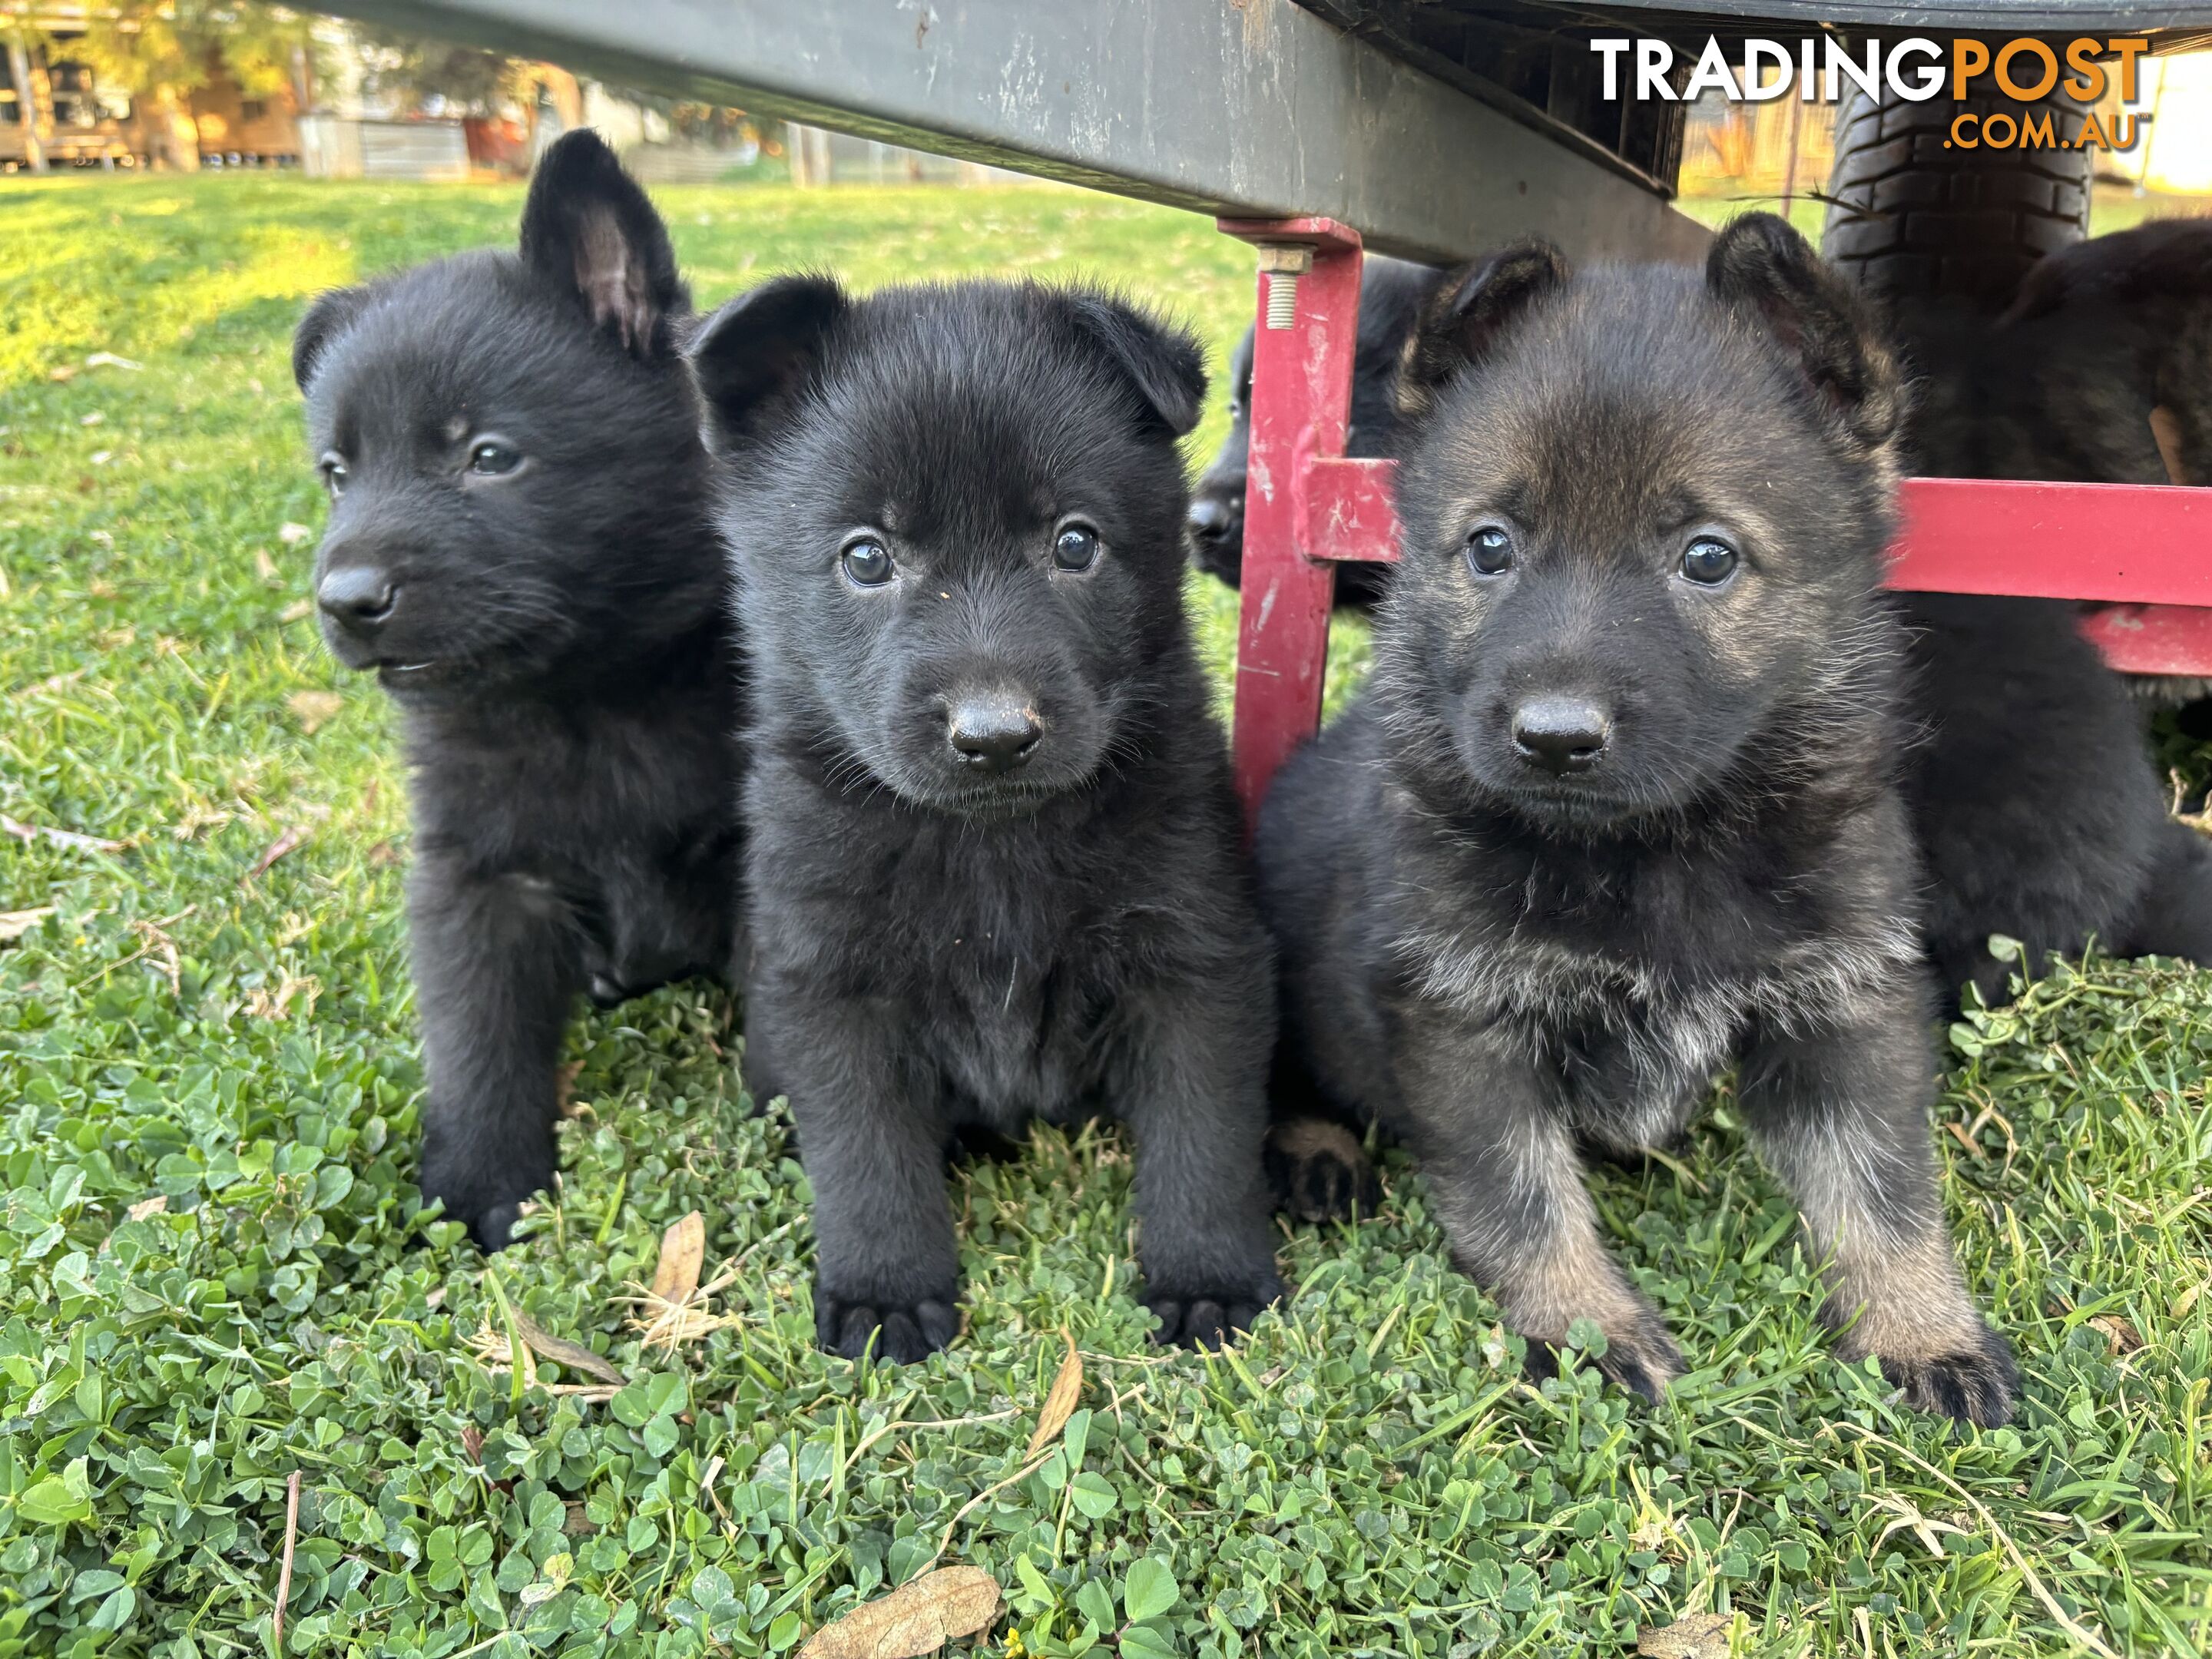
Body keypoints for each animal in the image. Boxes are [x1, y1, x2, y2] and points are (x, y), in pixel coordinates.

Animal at [290, 133, 743, 1247]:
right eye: (337, 474)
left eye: (489, 456)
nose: (345, 600)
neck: (584, 701)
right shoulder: (478, 879)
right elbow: (476, 1043)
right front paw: (481, 1187)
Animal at [685, 276, 1283, 1363]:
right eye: (866, 557)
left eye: (1075, 543)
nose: (995, 735)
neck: (992, 843)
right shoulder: (829, 979)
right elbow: (866, 1152)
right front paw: (885, 1292)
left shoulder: (1197, 956)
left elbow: (1203, 1133)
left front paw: (1208, 1276)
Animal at [1256, 214, 2017, 1424]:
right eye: (1490, 545)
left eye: (1707, 556)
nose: (1554, 737)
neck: (1657, 849)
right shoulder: (1464, 1019)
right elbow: (1522, 1195)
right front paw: (1584, 1328)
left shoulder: (1844, 1001)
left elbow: (1882, 1185)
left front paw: (1920, 1327)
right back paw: (1316, 1151)